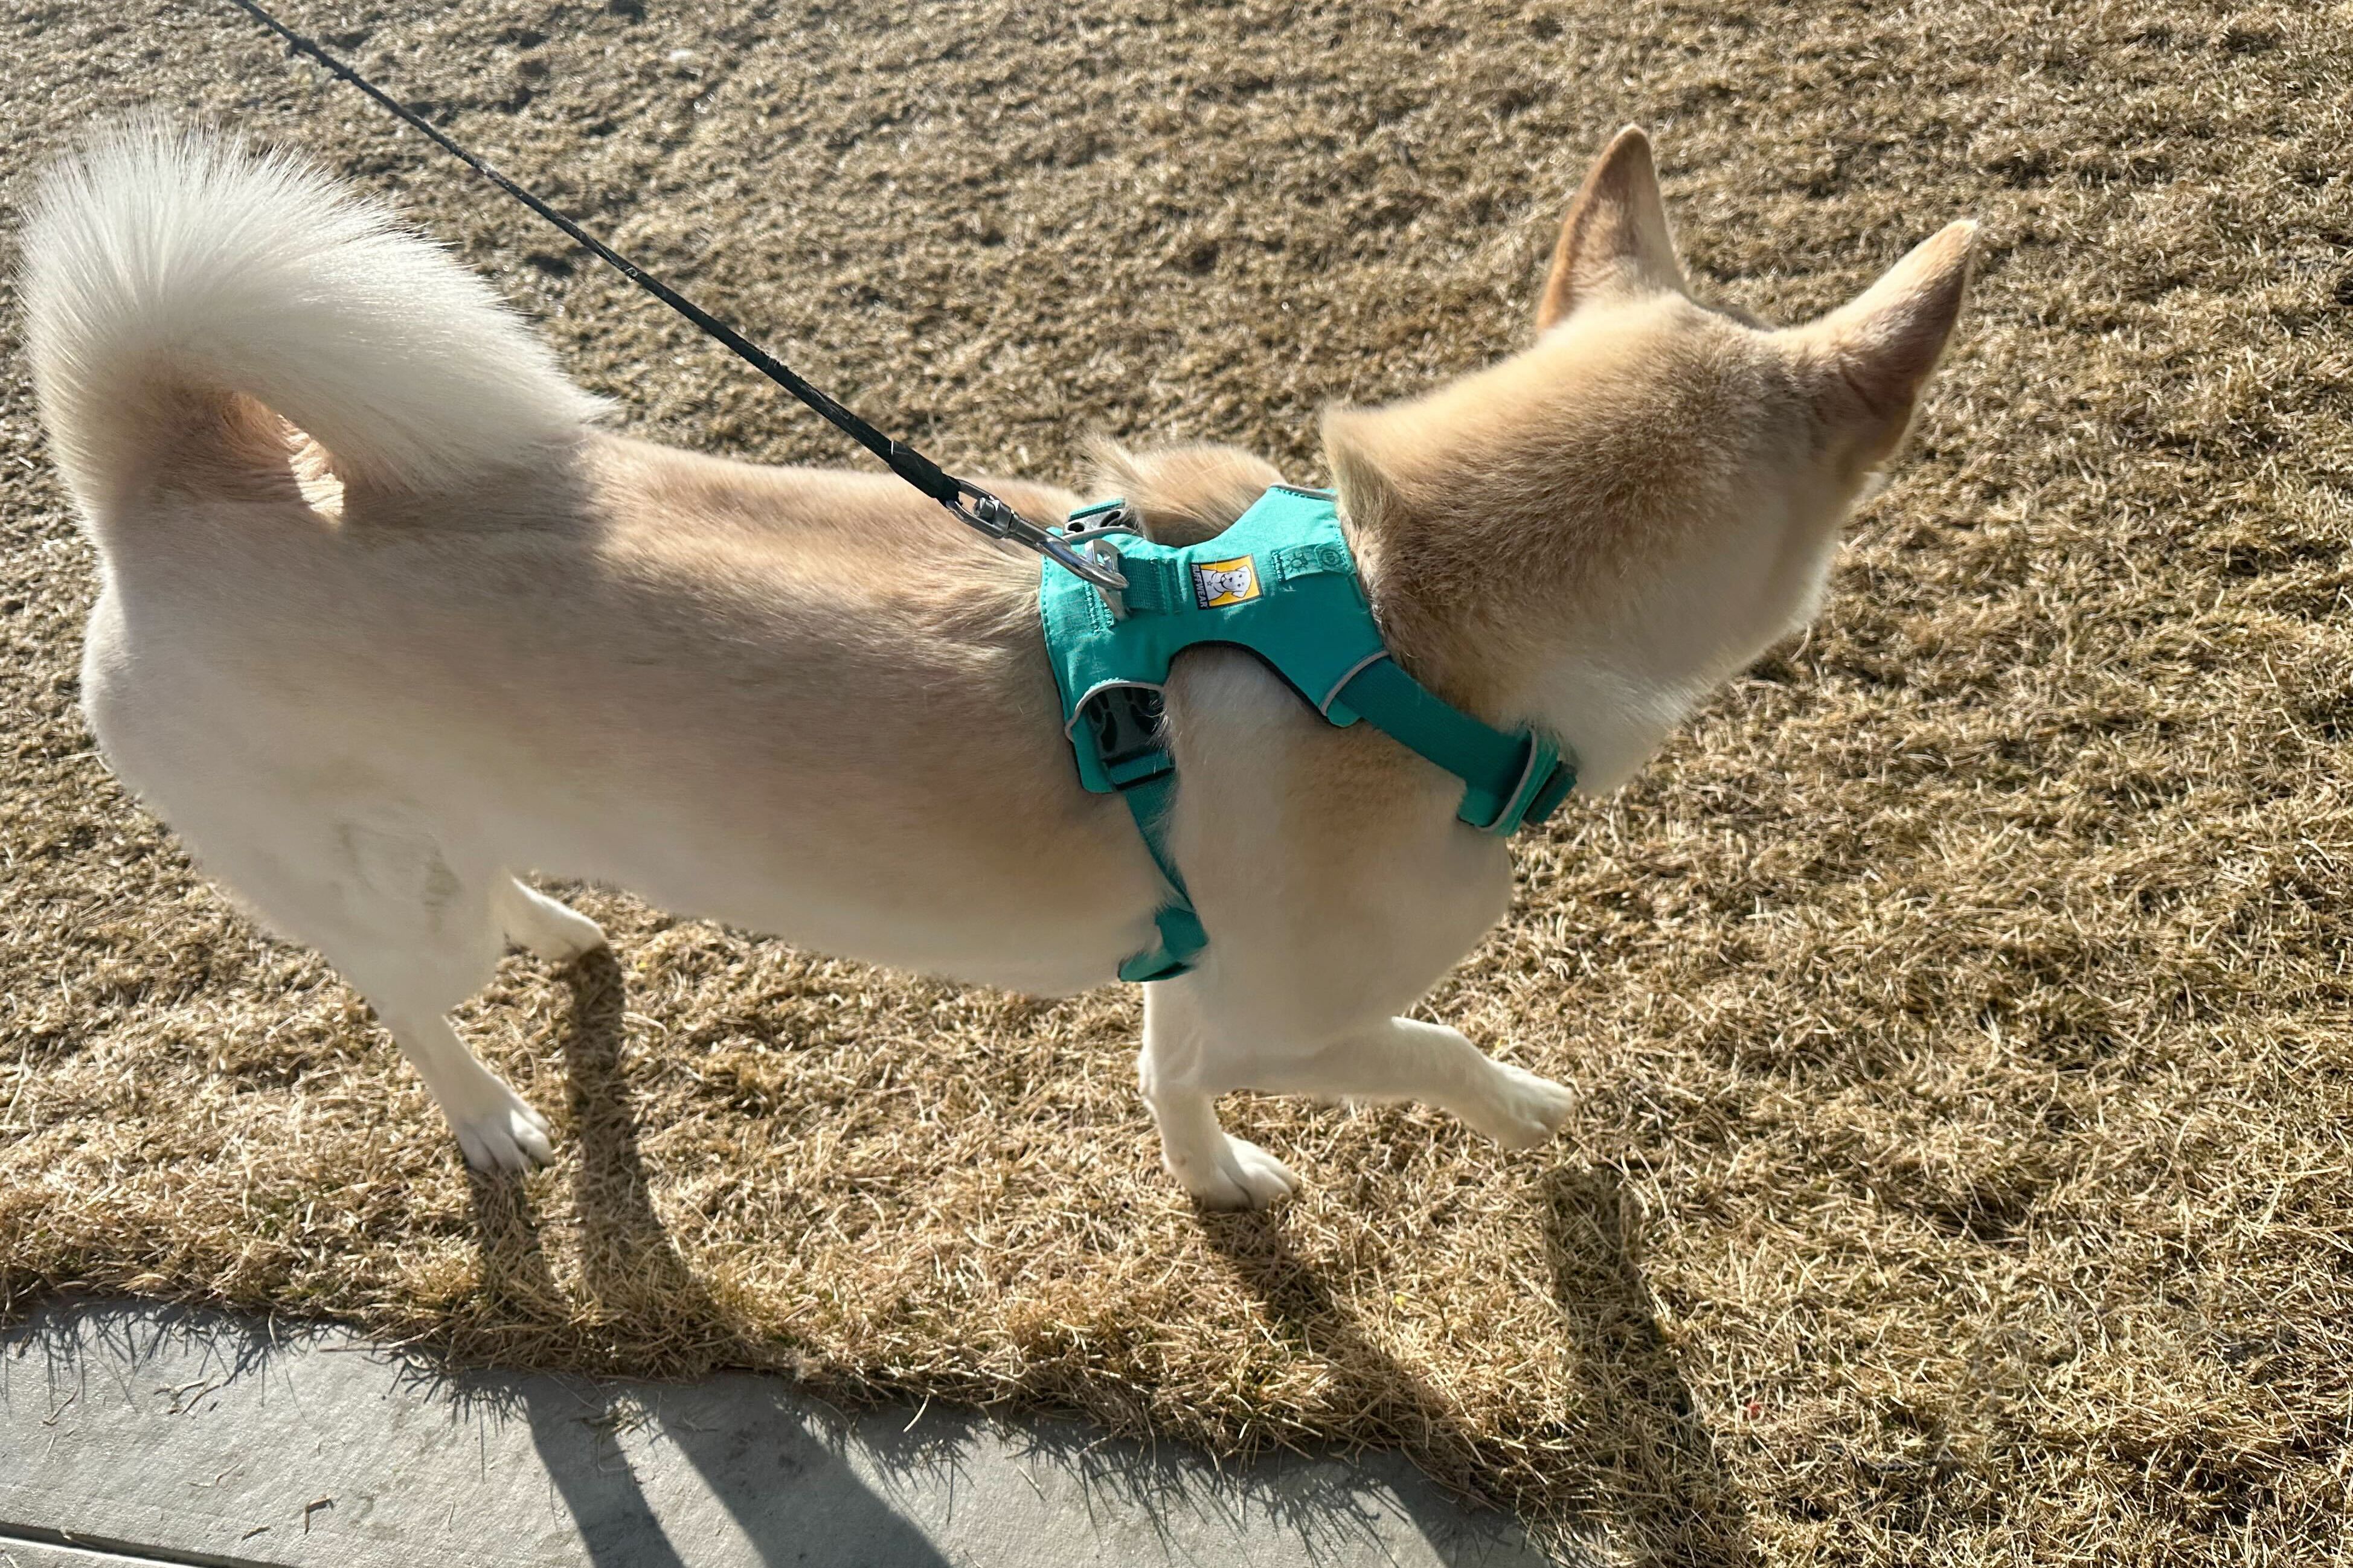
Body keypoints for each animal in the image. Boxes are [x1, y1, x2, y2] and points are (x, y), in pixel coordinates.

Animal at [22, 123, 1967, 1213]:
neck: (1400, 621)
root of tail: (172, 477)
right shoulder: (1292, 1011)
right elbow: (1428, 1047)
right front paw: (1531, 1111)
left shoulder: (1189, 983)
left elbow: (1170, 1085)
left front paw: (1223, 1192)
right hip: (358, 890)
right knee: (406, 994)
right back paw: (491, 1114)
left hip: (443, 818)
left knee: (477, 885)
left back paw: (559, 922)